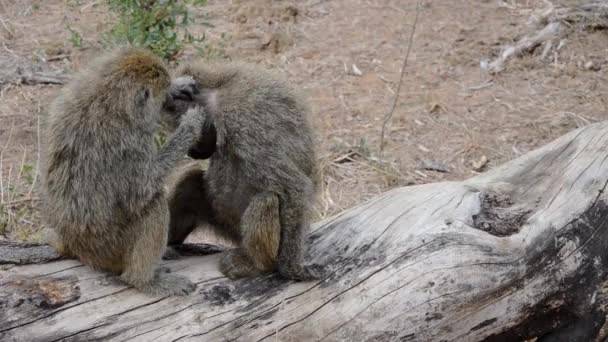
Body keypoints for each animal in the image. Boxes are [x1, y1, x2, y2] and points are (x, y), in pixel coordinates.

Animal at [42, 46, 205, 296]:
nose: (169, 98)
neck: (106, 94)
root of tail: (76, 247)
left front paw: (180, 84)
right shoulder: (131, 141)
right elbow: (141, 192)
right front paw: (190, 126)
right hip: (112, 248)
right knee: (154, 204)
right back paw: (143, 280)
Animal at [162, 61, 324, 280]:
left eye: (184, 128)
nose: (192, 152)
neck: (218, 90)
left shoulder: (242, 118)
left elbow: (293, 186)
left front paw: (292, 269)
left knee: (266, 199)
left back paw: (257, 265)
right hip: (225, 222)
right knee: (190, 182)